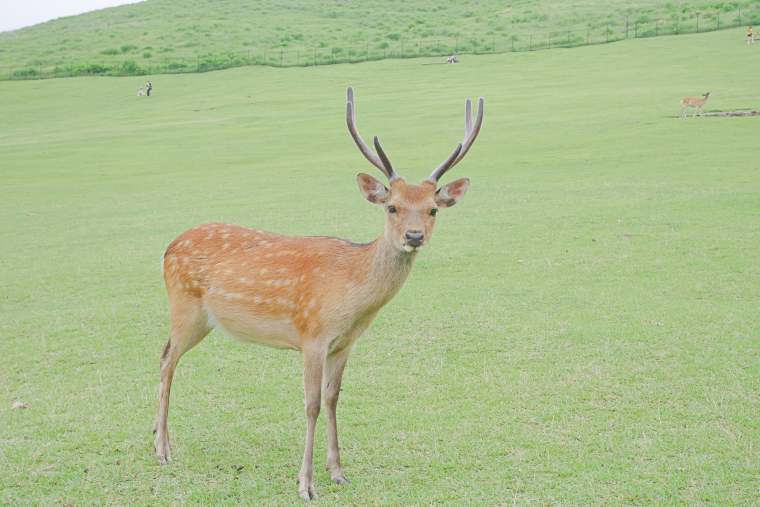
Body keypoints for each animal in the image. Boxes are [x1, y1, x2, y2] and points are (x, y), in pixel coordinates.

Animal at [153, 87, 484, 501]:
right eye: (392, 207)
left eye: (433, 210)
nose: (413, 236)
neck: (353, 293)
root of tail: (167, 247)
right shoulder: (311, 333)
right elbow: (310, 403)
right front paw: (306, 483)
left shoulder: (344, 343)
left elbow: (333, 398)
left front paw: (338, 471)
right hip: (185, 308)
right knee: (166, 359)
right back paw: (162, 449)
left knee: (166, 356)